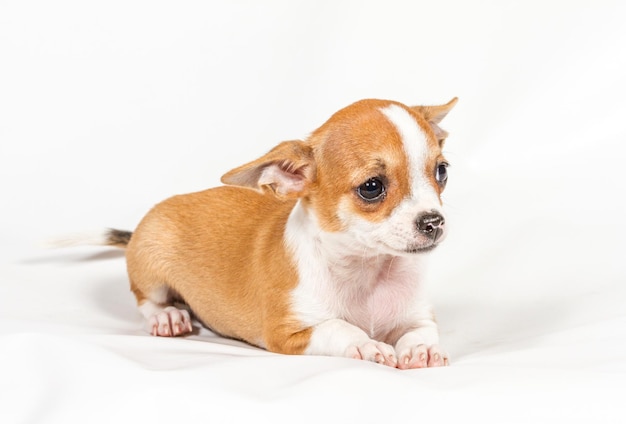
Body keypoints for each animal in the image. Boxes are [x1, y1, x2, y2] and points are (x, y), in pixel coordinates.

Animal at [75, 98, 456, 368]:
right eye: (372, 187)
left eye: (441, 172)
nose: (434, 221)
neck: (368, 272)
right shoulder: (288, 334)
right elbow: (340, 327)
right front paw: (367, 343)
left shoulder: (417, 316)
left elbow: (421, 331)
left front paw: (421, 349)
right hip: (152, 264)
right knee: (146, 300)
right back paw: (167, 316)